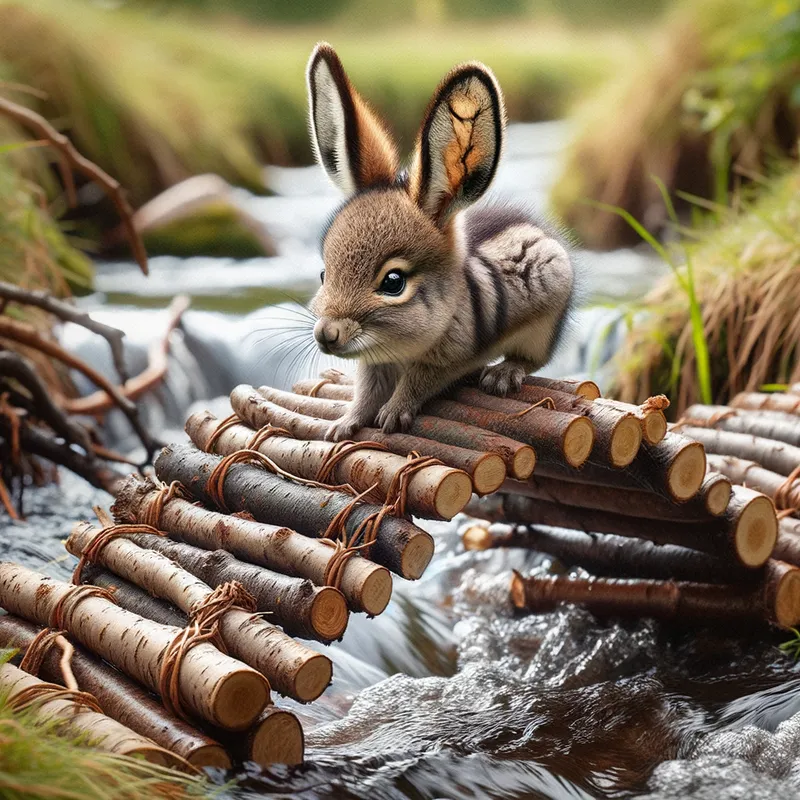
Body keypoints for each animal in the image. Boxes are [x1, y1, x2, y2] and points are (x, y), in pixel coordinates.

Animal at [306, 43, 575, 441]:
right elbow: (365, 390)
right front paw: (344, 423)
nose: (326, 333)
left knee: (532, 359)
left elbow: (417, 382)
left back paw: (504, 372)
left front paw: (393, 413)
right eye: (324, 273)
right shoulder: (373, 362)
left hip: (543, 326)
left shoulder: (448, 357)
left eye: (393, 281)